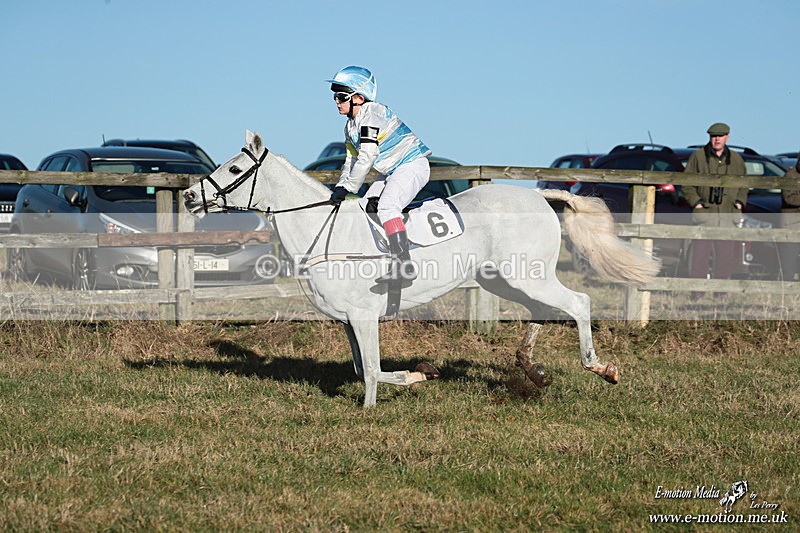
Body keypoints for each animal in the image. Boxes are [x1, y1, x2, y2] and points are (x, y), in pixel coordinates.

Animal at [183, 130, 661, 407]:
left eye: (236, 167)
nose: (189, 197)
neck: (323, 228)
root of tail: (540, 195)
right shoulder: (349, 321)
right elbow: (362, 369)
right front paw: (419, 374)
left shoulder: (363, 316)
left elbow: (372, 371)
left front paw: (381, 402)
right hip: (505, 280)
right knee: (541, 312)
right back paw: (532, 372)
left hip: (529, 275)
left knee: (578, 304)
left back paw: (600, 368)